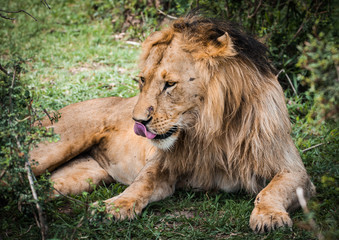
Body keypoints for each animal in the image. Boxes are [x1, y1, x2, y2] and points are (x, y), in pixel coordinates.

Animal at [29, 15, 316, 232]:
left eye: (169, 84)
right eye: (142, 80)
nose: (137, 122)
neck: (211, 129)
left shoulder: (292, 169)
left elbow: (271, 190)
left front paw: (269, 216)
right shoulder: (163, 164)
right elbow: (141, 184)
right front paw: (114, 206)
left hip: (83, 176)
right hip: (53, 149)